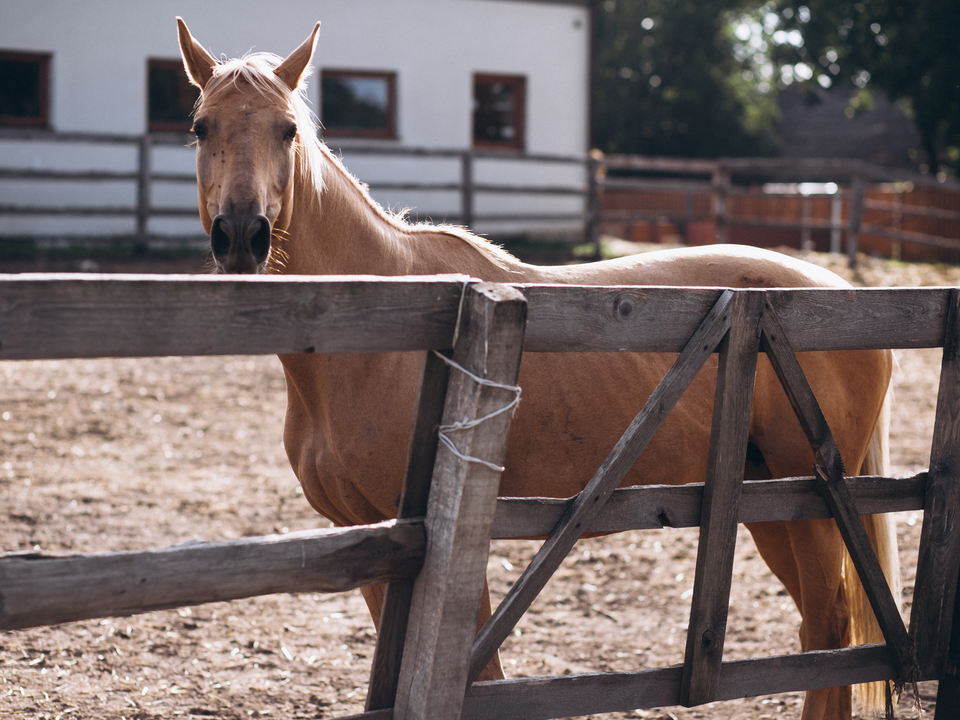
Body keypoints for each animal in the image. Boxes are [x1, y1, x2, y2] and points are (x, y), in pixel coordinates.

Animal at [178, 18, 900, 720]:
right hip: (768, 502)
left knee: (830, 624)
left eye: (287, 129)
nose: (241, 236)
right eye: (201, 126)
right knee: (821, 632)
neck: (395, 325)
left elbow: (481, 675)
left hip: (810, 504)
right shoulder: (369, 541)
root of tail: (841, 291)